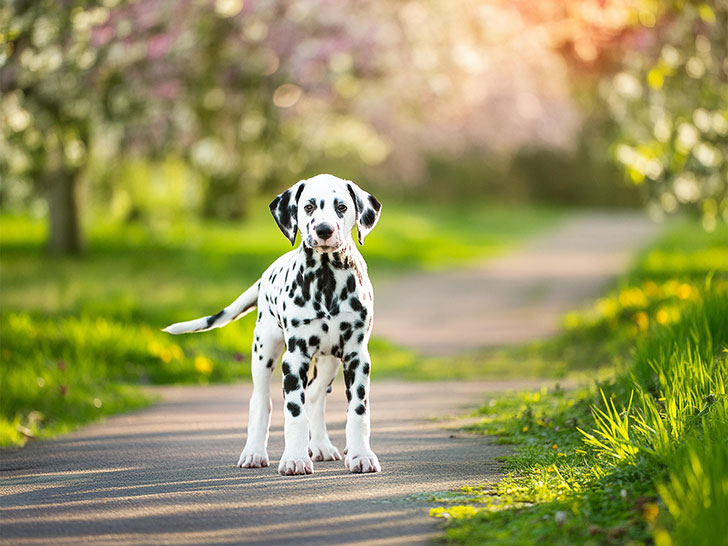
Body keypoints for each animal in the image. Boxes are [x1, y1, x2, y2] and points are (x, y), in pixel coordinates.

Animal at [164, 173, 382, 472]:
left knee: (315, 395)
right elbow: (294, 413)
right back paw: (254, 452)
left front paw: (361, 455)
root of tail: (264, 276)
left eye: (342, 207)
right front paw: (295, 458)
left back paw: (321, 446)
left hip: (329, 361)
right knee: (260, 402)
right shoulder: (294, 358)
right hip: (263, 352)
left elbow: (358, 411)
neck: (326, 281)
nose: (324, 230)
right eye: (308, 207)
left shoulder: (357, 357)